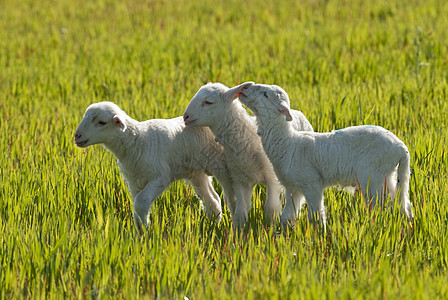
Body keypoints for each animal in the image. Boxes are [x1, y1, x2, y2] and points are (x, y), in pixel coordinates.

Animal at [73, 102, 234, 233]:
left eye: (101, 122)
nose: (77, 136)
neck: (137, 141)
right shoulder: (134, 181)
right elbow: (138, 205)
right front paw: (140, 231)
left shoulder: (160, 177)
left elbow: (141, 201)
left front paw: (144, 232)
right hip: (197, 173)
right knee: (212, 200)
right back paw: (214, 225)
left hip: (222, 166)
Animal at [182, 81, 316, 226]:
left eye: (208, 102)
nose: (185, 117)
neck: (248, 139)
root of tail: (297, 111)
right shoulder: (240, 179)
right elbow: (240, 212)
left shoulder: (272, 178)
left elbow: (271, 208)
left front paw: (271, 228)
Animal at [240, 83, 414, 229]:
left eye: (265, 94)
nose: (245, 89)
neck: (288, 142)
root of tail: (401, 148)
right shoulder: (293, 188)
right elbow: (286, 216)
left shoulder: (312, 183)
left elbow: (315, 216)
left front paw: (320, 236)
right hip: (388, 175)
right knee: (402, 204)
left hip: (373, 176)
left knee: (378, 207)